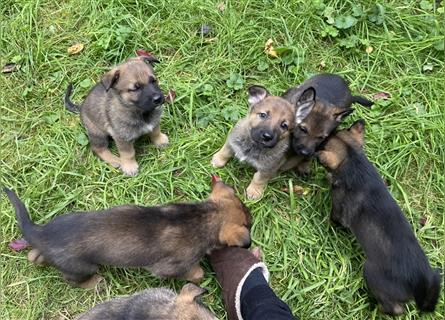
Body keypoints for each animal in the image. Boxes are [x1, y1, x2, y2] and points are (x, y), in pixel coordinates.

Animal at [3, 176, 251, 288]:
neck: (205, 216)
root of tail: (42, 232)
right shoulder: (166, 268)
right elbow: (194, 273)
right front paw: (199, 275)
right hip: (83, 266)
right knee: (71, 278)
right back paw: (94, 283)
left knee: (34, 256)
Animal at [316, 120, 440, 316]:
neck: (355, 162)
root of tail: (420, 282)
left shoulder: (338, 208)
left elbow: (334, 218)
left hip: (371, 272)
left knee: (395, 308)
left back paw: (375, 306)